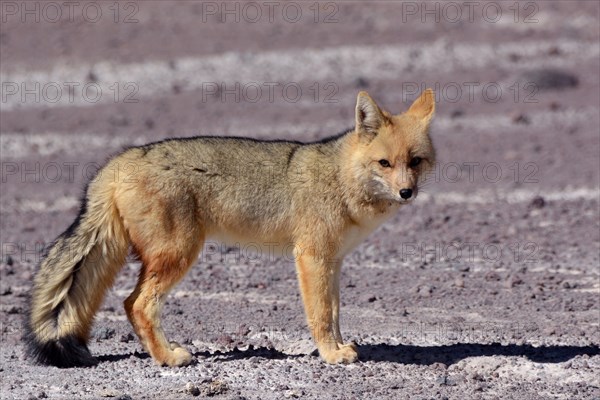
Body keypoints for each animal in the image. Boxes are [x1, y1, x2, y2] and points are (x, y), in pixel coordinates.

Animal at [24, 89, 436, 368]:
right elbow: (320, 315)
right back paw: (169, 357)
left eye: (415, 161)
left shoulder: (332, 262)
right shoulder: (311, 257)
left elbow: (333, 313)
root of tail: (120, 159)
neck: (342, 178)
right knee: (137, 304)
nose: (407, 192)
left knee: (130, 303)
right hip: (179, 254)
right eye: (384, 163)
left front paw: (339, 346)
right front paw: (331, 354)